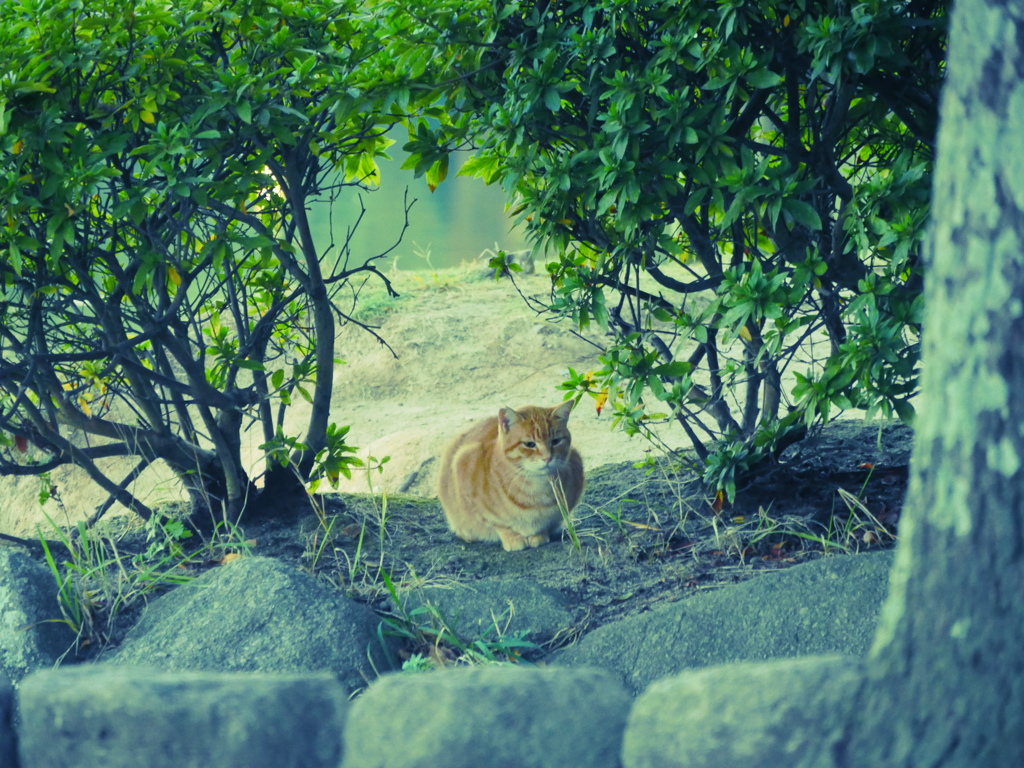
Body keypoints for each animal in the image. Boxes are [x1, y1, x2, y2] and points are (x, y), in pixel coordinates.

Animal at [438, 403, 585, 552]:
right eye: (530, 444)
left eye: (556, 441)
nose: (547, 458)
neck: (535, 488)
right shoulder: (463, 464)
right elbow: (500, 525)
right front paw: (512, 537)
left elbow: (544, 525)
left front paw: (539, 535)